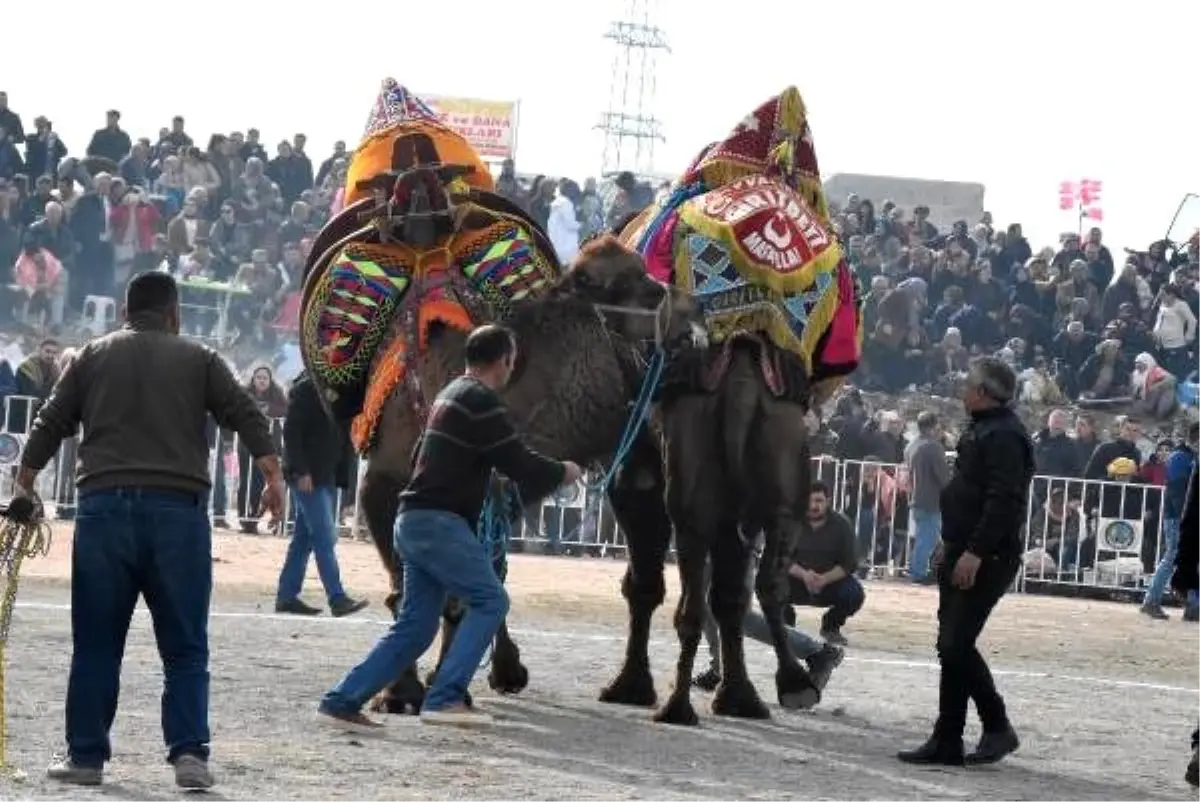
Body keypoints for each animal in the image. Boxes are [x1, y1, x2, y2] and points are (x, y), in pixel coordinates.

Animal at [300, 78, 705, 710]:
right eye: (630, 285)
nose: (691, 305)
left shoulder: (486, 481)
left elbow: (472, 580)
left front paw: (468, 678)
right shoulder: (382, 485)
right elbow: (405, 588)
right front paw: (399, 689)